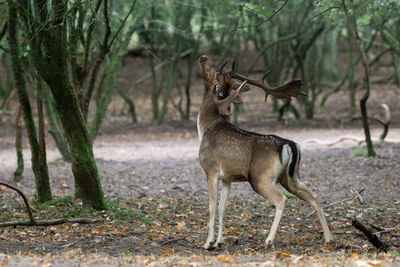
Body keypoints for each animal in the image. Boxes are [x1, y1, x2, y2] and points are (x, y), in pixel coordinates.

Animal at [198, 55, 332, 250]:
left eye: (214, 69)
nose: (203, 57)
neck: (205, 129)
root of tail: (289, 145)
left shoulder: (211, 170)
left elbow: (212, 206)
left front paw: (208, 243)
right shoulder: (227, 177)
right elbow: (223, 207)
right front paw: (219, 241)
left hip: (261, 178)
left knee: (281, 199)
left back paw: (268, 240)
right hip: (290, 176)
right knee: (313, 195)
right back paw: (329, 238)